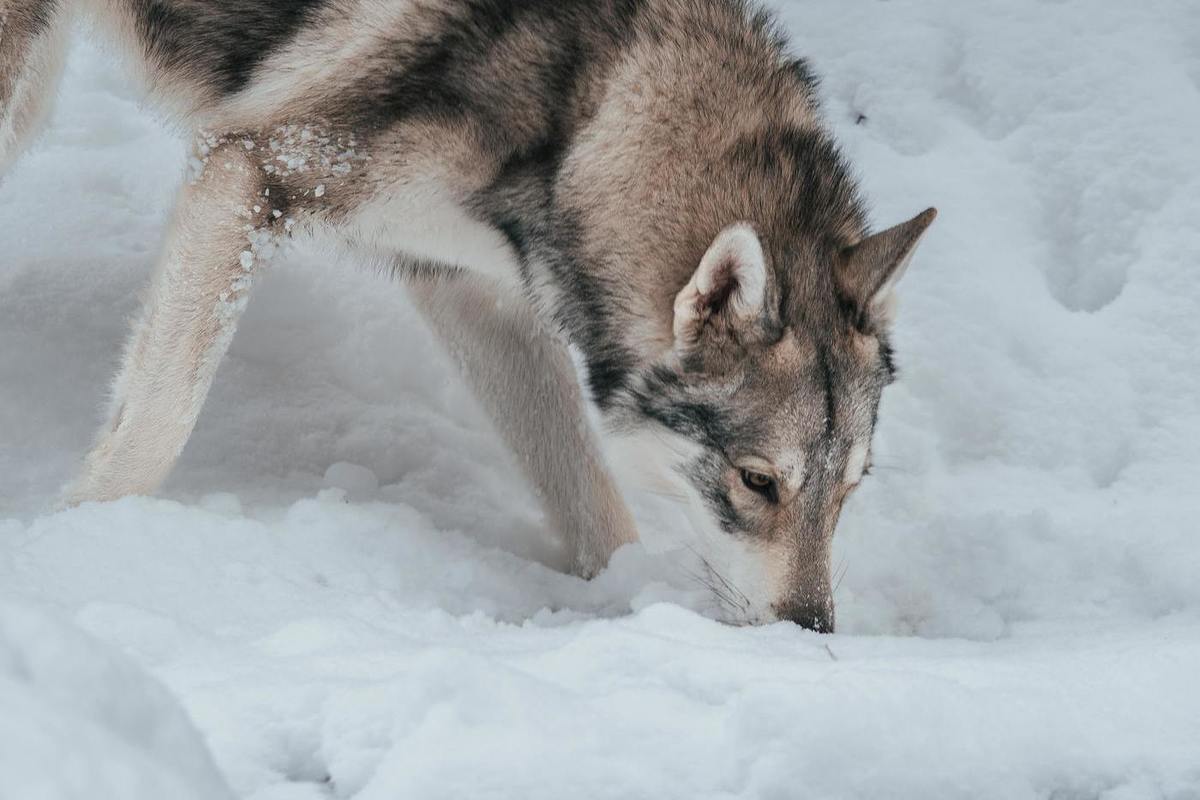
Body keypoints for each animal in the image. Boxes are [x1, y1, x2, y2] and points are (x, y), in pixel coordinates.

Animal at [0, 0, 936, 633]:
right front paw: (81, 547)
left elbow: (596, 511)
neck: (586, 102)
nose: (810, 633)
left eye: (850, 489)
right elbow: (153, 429)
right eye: (757, 482)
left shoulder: (469, 289)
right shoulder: (245, 175)